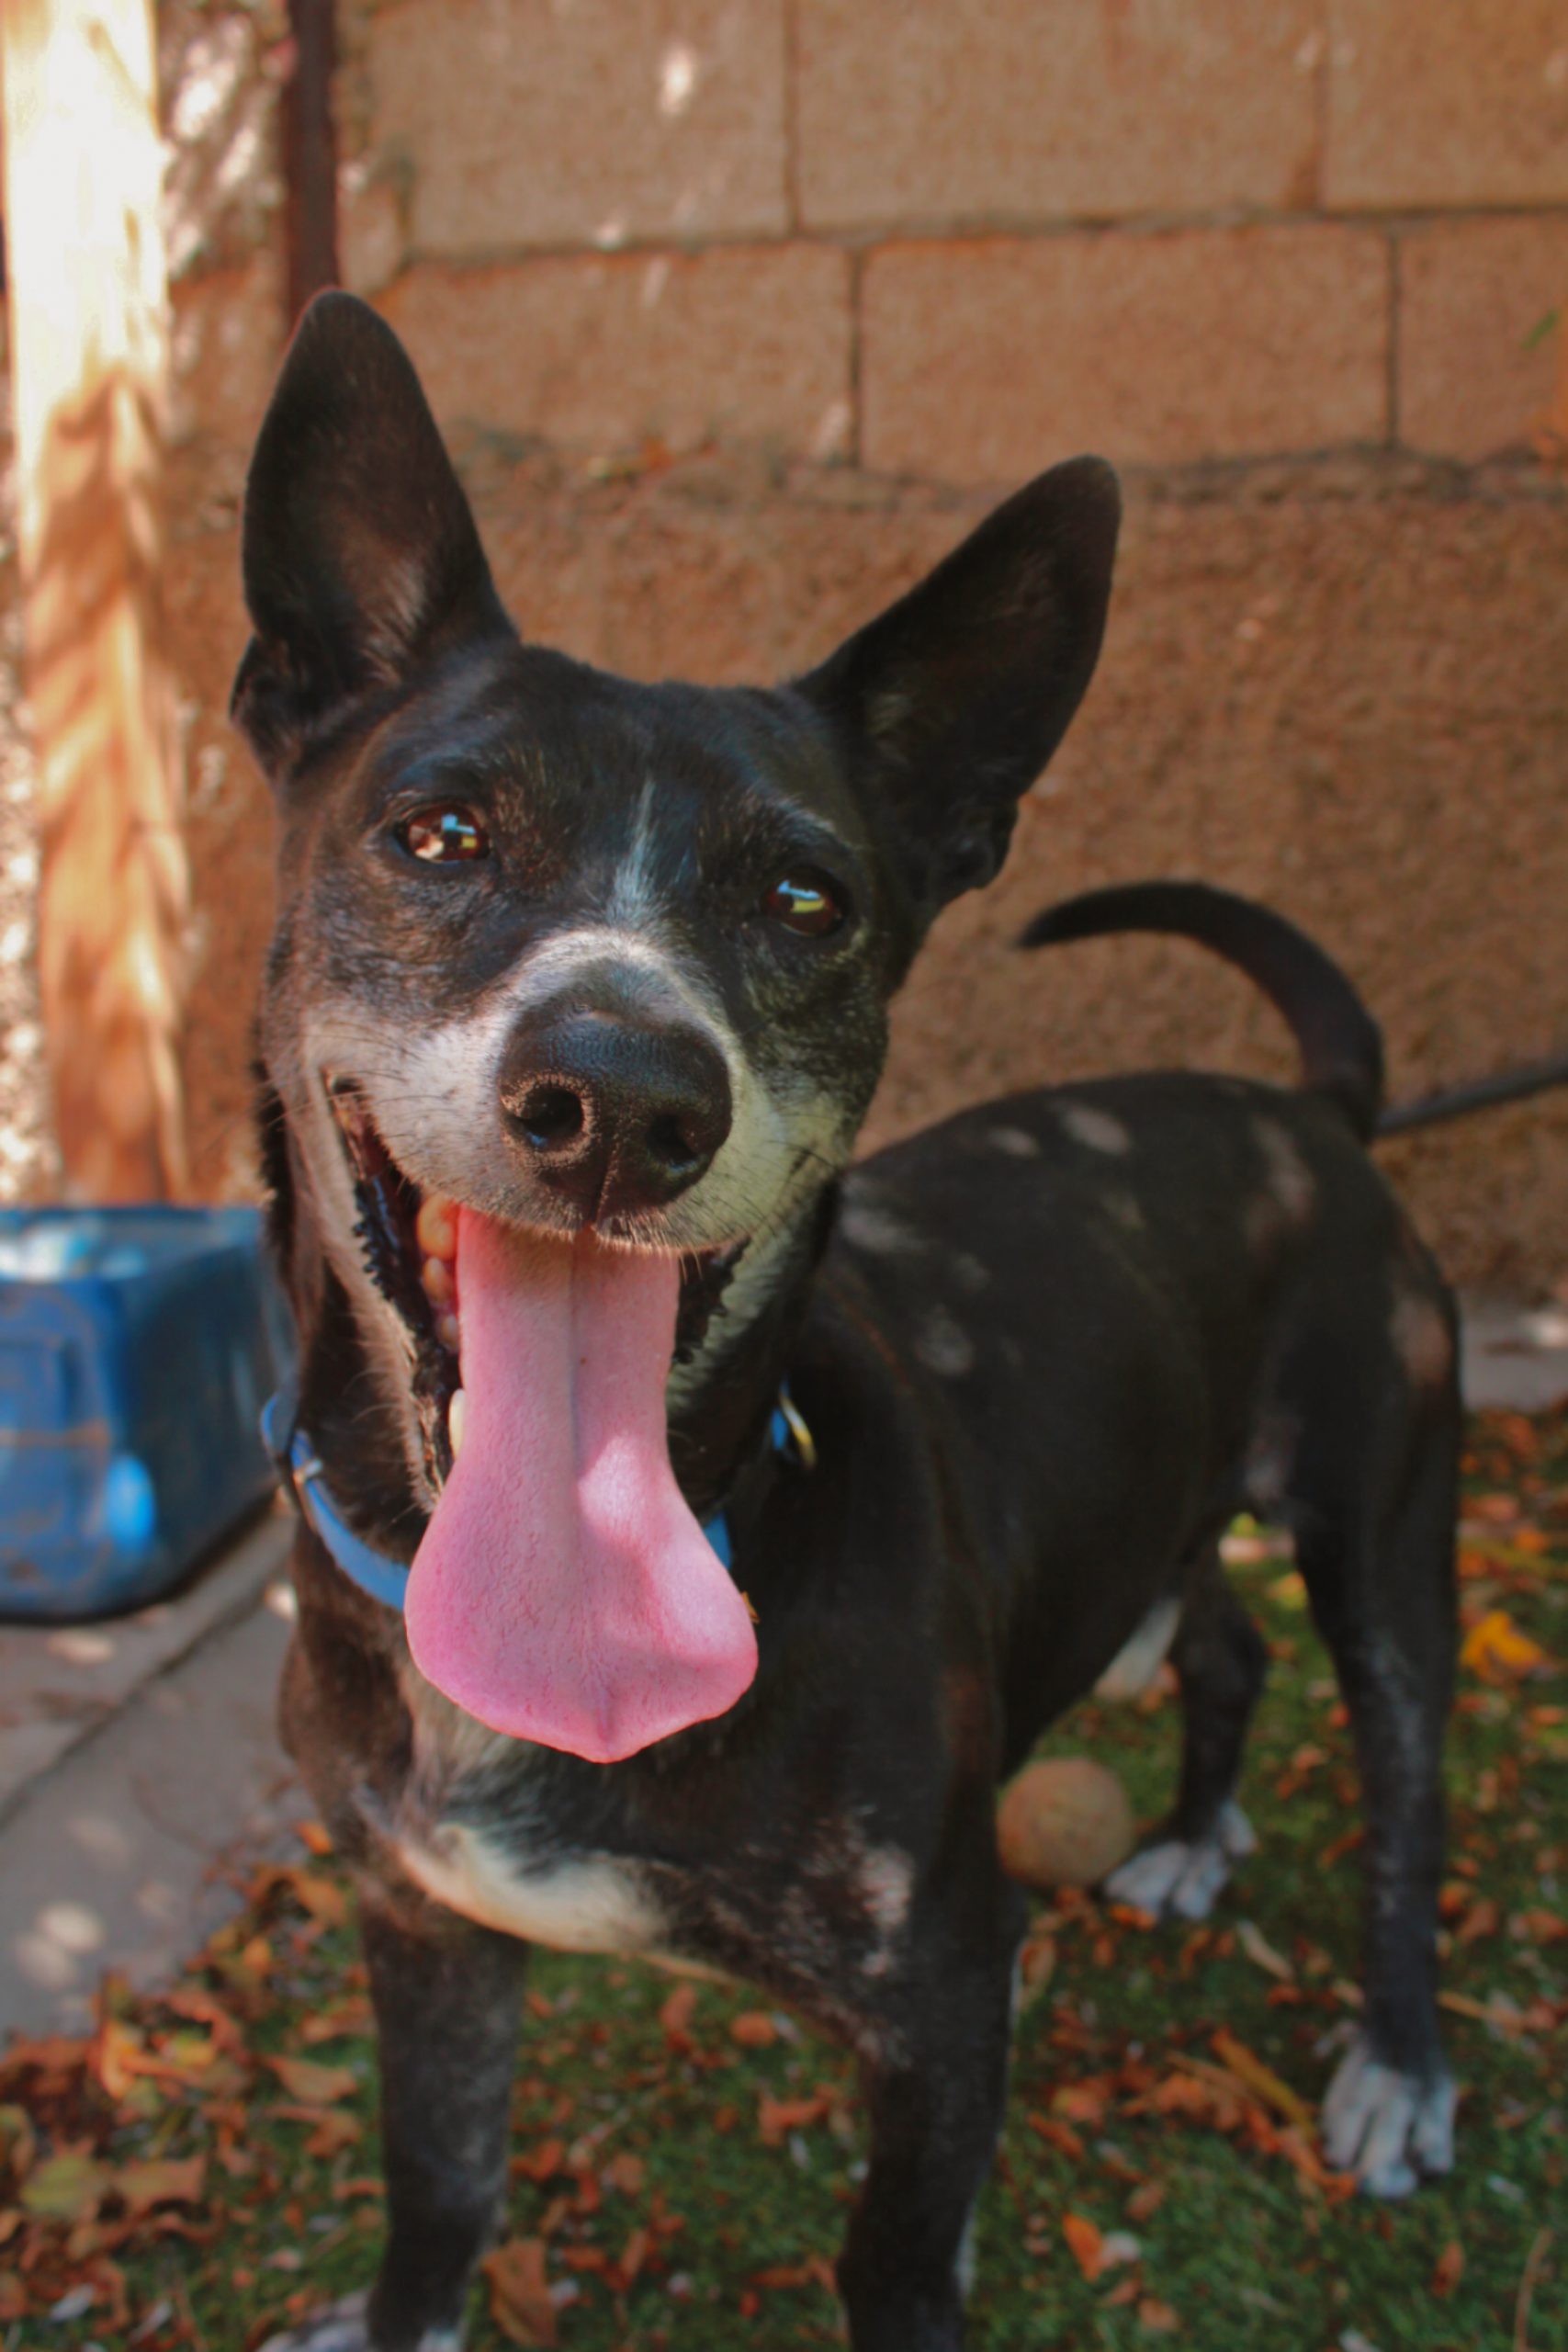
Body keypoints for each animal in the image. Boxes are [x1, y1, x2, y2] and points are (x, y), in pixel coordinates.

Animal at [245, 294, 1457, 2352]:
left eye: (807, 896)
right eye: (439, 832)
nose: (621, 1095)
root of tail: (1315, 1114)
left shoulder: (944, 1999)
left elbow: (892, 2262)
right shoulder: (419, 1924)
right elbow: (436, 2191)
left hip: (1382, 1535)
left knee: (1401, 1789)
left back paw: (1394, 2060)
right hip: (1164, 1495)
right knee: (1220, 1645)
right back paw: (1195, 1828)